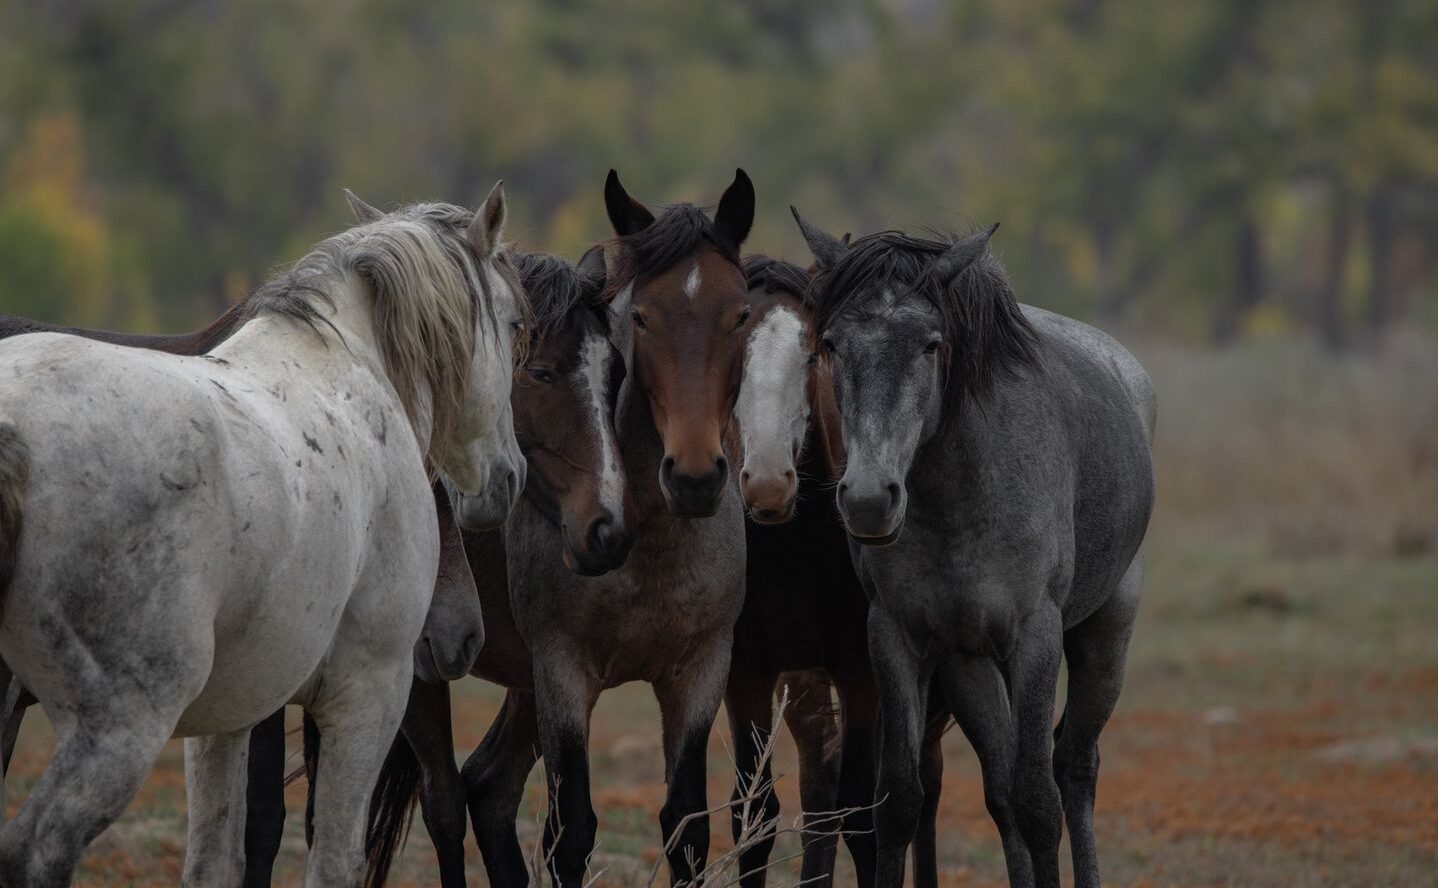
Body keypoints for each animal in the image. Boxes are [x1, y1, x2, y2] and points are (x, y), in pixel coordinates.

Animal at [0, 183, 529, 879]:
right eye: (517, 326)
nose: (509, 478)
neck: (347, 367)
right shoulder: (369, 692)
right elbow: (333, 860)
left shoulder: (226, 718)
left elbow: (213, 859)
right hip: (121, 723)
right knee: (35, 850)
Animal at [793, 209, 1150, 885]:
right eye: (831, 344)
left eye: (931, 344)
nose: (869, 499)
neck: (960, 501)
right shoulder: (898, 636)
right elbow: (900, 803)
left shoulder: (1035, 636)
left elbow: (1040, 803)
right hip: (969, 667)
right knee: (1001, 786)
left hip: (1105, 638)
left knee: (1074, 770)